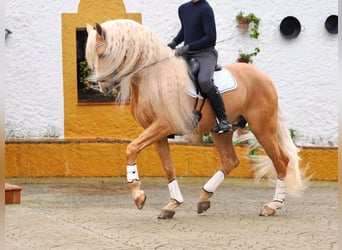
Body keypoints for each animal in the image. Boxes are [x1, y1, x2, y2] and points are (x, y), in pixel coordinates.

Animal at [87, 19, 306, 219]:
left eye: (103, 54)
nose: (103, 87)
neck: (153, 77)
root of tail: (265, 78)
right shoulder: (157, 132)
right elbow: (168, 167)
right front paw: (172, 205)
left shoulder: (163, 125)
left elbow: (131, 148)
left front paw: (138, 195)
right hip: (222, 131)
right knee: (230, 160)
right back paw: (204, 199)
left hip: (262, 128)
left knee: (281, 161)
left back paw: (272, 206)